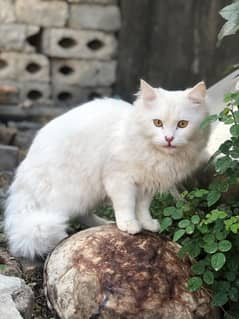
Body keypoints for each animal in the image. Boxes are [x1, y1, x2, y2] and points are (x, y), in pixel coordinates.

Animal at [3, 80, 209, 260]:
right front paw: (129, 225)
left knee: (83, 215)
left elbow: (143, 207)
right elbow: (126, 204)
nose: (169, 139)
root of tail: (23, 178)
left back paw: (104, 223)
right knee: (66, 216)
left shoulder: (147, 184)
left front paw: (147, 224)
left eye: (182, 124)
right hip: (74, 191)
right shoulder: (120, 179)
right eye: (157, 123)